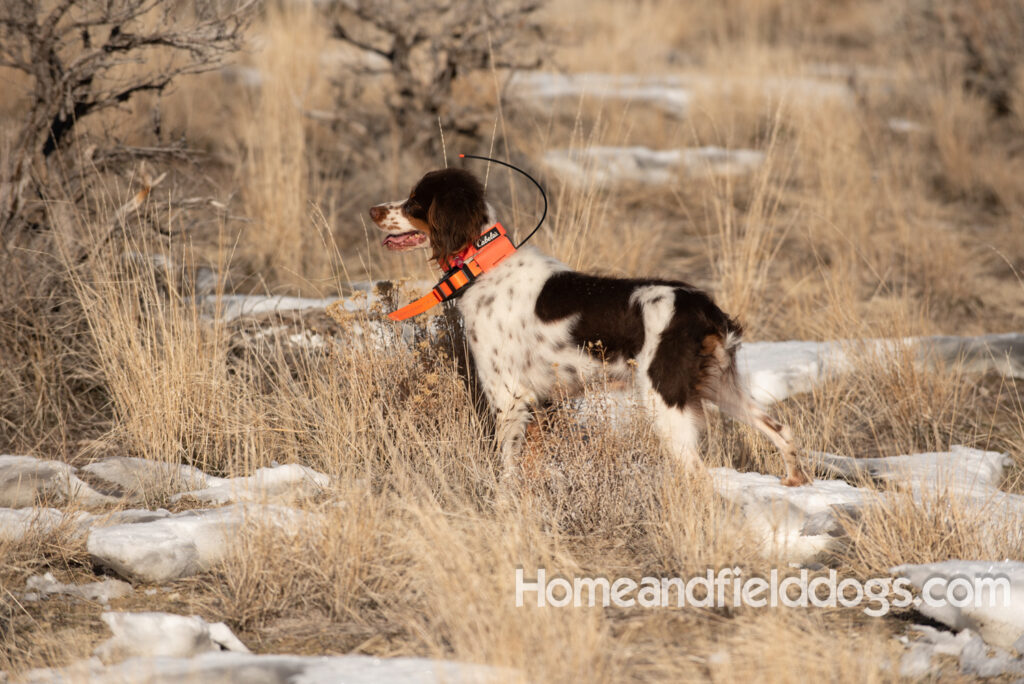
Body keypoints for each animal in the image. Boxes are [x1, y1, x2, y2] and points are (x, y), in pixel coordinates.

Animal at [372, 166, 811, 485]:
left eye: (415, 201)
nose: (373, 211)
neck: (485, 265)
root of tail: (703, 306)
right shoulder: (541, 403)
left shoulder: (509, 396)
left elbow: (508, 466)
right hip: (721, 386)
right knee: (782, 430)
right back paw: (794, 482)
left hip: (665, 401)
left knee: (699, 472)